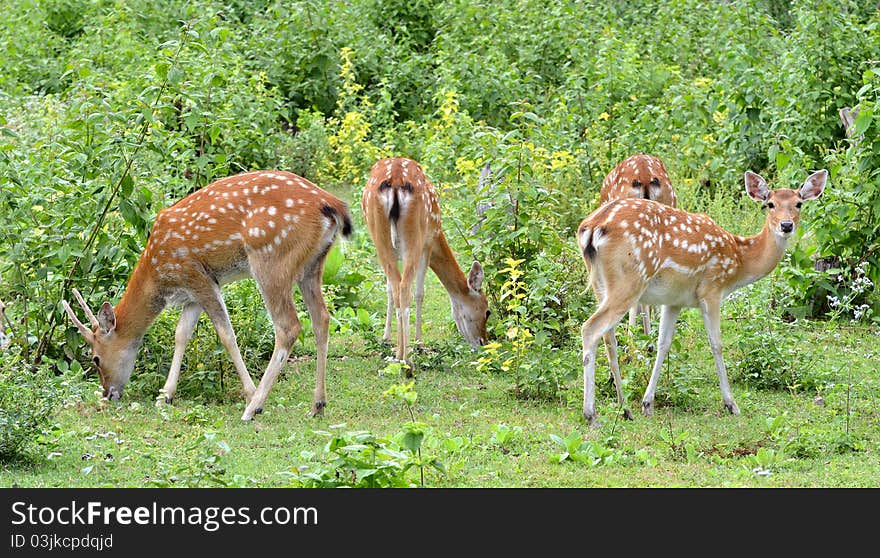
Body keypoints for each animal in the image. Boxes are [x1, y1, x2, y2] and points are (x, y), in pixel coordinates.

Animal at [61, 171, 354, 420]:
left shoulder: (198, 276)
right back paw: (317, 405)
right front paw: (165, 396)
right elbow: (181, 334)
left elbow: (226, 335)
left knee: (289, 326)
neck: (158, 273)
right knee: (322, 319)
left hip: (271, 258)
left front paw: (248, 392)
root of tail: (332, 205)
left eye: (95, 358)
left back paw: (254, 407)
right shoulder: (192, 294)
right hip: (313, 265)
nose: (108, 394)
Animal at [360, 156, 492, 372]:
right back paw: (407, 358)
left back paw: (397, 356)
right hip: (416, 234)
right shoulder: (428, 243)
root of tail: (395, 180)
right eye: (487, 311)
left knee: (397, 289)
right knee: (405, 289)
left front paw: (386, 339)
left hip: (379, 235)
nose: (483, 343)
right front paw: (419, 344)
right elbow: (420, 293)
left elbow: (388, 290)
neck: (439, 238)